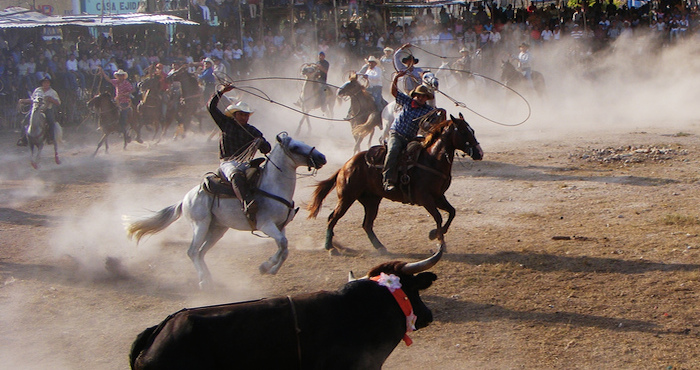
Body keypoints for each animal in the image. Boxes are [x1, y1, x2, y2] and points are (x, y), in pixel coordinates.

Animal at [124, 133, 326, 290]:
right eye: (295, 147)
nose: (322, 157)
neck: (273, 186)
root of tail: (185, 199)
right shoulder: (266, 225)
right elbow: (283, 245)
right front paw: (266, 265)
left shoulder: (280, 226)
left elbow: (284, 248)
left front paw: (269, 268)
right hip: (200, 225)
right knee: (192, 251)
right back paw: (203, 282)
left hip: (217, 229)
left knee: (201, 253)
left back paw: (209, 279)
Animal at [308, 114, 484, 256]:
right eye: (464, 132)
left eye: (473, 130)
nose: (479, 153)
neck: (432, 160)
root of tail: (345, 166)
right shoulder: (425, 199)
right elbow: (439, 217)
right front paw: (438, 240)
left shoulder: (439, 196)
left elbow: (452, 212)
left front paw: (435, 235)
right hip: (347, 197)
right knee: (332, 218)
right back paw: (330, 248)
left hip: (371, 200)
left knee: (367, 224)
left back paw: (380, 247)